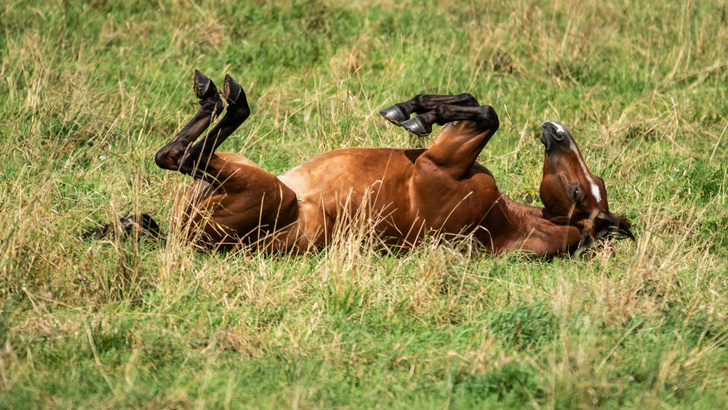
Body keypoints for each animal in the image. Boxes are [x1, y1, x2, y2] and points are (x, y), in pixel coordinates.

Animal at [152, 70, 632, 256]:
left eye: (579, 192)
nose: (556, 131)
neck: (501, 224)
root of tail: (182, 240)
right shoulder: (447, 152)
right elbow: (478, 103)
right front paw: (412, 109)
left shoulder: (442, 162)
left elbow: (489, 113)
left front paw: (416, 116)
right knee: (176, 155)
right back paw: (213, 94)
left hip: (266, 189)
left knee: (182, 156)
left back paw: (225, 97)